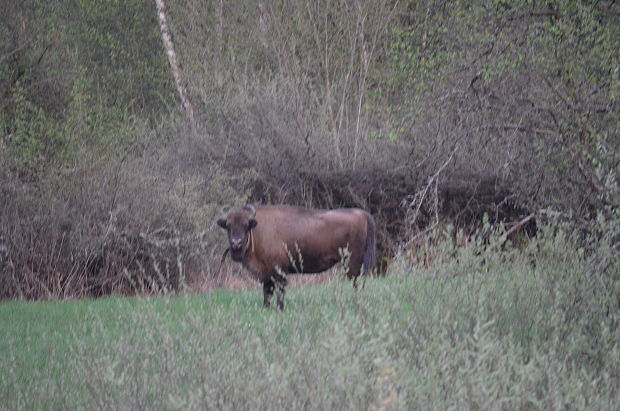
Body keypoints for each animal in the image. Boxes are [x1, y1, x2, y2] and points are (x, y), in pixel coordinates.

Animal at [216, 205, 376, 308]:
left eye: (245, 225)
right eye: (228, 226)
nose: (236, 243)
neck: (258, 230)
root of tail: (363, 214)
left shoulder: (279, 272)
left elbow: (280, 291)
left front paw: (280, 308)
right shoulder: (267, 274)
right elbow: (267, 292)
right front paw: (266, 308)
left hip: (352, 263)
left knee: (356, 282)